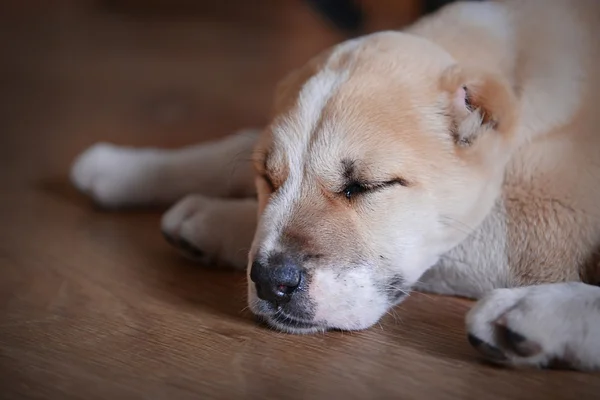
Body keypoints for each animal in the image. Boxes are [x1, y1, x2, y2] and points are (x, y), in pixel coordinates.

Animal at [70, 0, 600, 370]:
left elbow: (451, 246)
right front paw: (120, 168)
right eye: (268, 177)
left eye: (367, 186)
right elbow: (232, 145)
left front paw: (208, 217)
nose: (270, 283)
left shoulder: (537, 235)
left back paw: (528, 318)